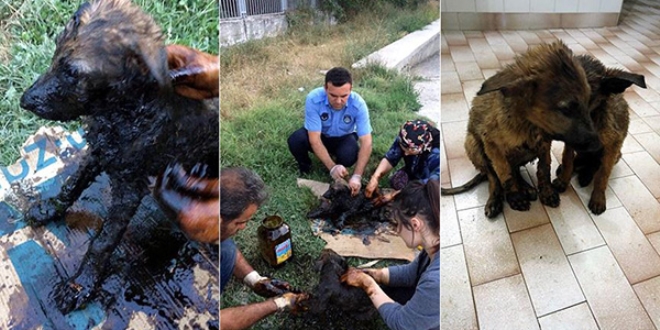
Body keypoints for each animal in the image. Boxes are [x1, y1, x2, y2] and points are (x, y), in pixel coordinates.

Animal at [444, 40, 604, 218]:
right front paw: (515, 196)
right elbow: (503, 173)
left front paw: (547, 192)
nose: (599, 147)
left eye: (588, 102)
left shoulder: (543, 145)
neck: (528, 124)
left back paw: (526, 188)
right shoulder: (491, 144)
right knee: (492, 176)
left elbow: (544, 169)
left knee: (515, 169)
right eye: (566, 109)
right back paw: (496, 199)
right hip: (473, 146)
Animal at [548, 54, 648, 214]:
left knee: (595, 164)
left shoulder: (611, 148)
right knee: (581, 160)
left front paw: (598, 199)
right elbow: (567, 159)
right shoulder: (570, 143)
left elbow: (603, 174)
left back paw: (586, 175)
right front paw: (563, 180)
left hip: (617, 155)